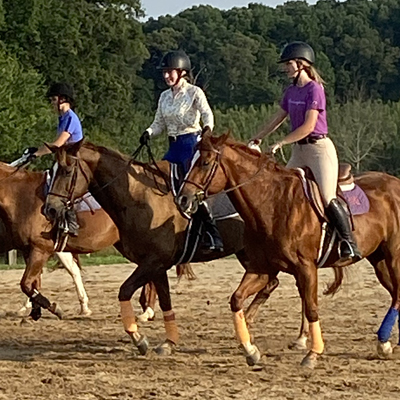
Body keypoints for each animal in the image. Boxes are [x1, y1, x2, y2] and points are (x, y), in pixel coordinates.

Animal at [43, 141, 282, 356]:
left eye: (66, 171)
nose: (50, 209)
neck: (139, 199)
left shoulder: (154, 261)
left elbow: (125, 291)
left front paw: (139, 338)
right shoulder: (156, 266)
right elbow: (165, 301)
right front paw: (169, 342)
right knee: (270, 282)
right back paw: (248, 324)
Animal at [178, 130, 400, 368]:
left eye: (205, 162)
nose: (182, 198)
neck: (272, 204)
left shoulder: (306, 268)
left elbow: (311, 308)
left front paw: (313, 354)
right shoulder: (261, 268)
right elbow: (236, 299)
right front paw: (251, 350)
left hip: (393, 257)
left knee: (397, 294)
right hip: (378, 259)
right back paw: (384, 343)